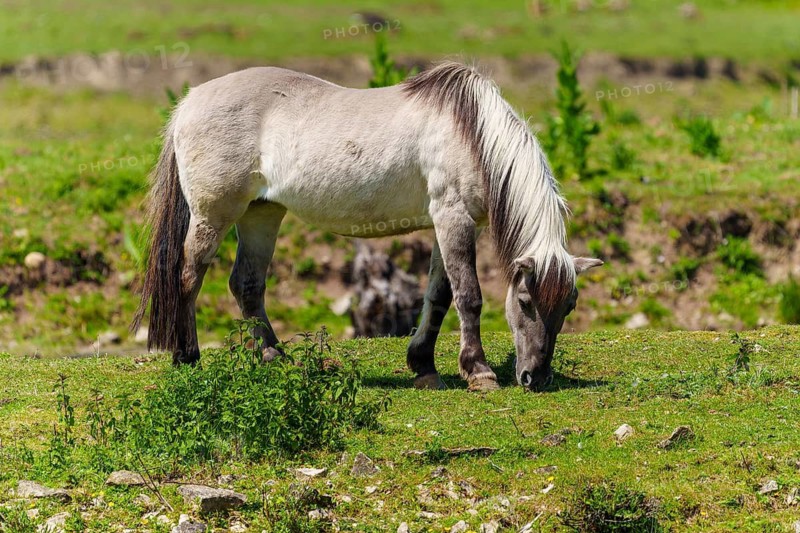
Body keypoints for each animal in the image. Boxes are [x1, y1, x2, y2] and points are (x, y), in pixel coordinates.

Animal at [131, 62, 603, 392]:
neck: (471, 133)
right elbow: (468, 296)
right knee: (188, 277)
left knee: (246, 285)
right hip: (212, 216)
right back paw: (187, 357)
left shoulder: (443, 224)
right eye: (524, 301)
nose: (535, 377)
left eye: (570, 306)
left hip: (261, 214)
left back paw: (273, 356)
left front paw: (424, 367)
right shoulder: (453, 217)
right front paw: (479, 372)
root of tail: (189, 101)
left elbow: (438, 295)